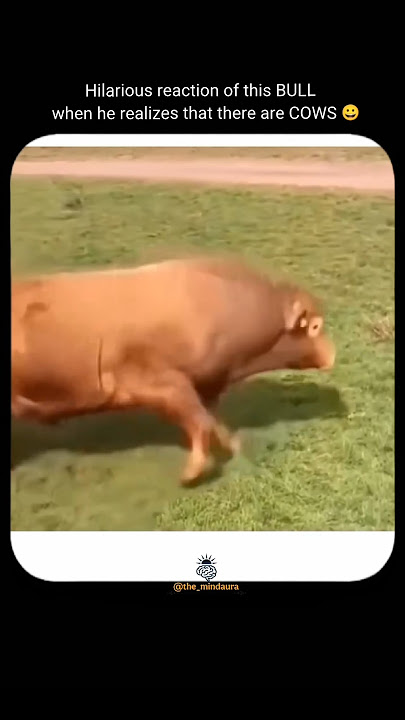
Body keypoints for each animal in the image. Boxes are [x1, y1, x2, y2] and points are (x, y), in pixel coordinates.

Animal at [11, 257, 336, 484]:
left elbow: (212, 420)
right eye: (315, 326)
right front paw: (192, 473)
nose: (332, 355)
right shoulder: (163, 385)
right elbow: (200, 422)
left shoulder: (202, 387)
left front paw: (232, 446)